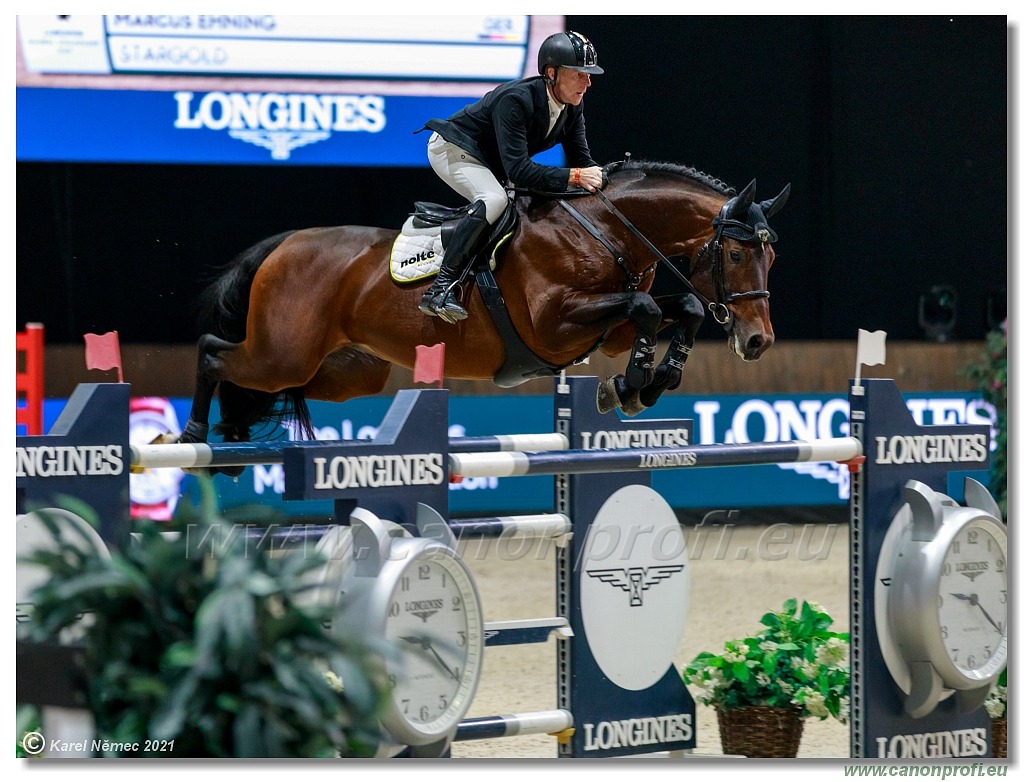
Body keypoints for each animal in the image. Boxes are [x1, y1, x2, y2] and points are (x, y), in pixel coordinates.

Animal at [176, 159, 786, 464]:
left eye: (772, 256)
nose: (758, 342)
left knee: (262, 384)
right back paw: (191, 435)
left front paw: (645, 386)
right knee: (213, 353)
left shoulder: (606, 332)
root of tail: (281, 245)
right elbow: (646, 308)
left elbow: (682, 307)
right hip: (284, 353)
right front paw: (630, 385)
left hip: (346, 373)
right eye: (736, 254)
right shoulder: (555, 325)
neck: (609, 230)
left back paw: (232, 434)